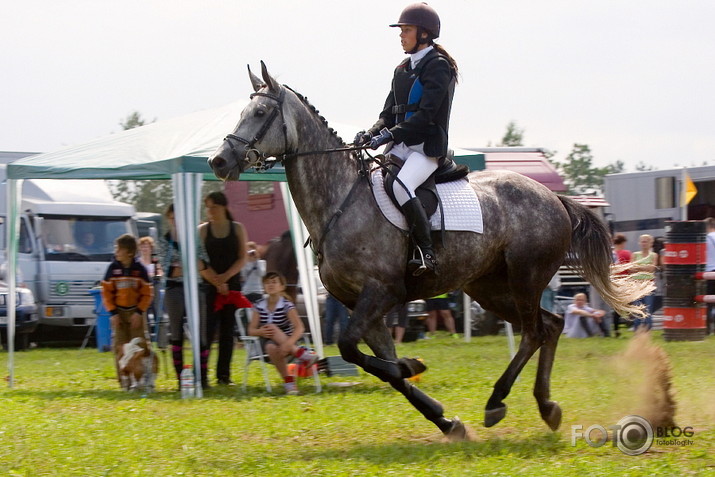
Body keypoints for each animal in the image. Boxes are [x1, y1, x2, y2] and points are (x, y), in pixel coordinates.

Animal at [207, 62, 648, 438]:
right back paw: (545, 406)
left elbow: (354, 350)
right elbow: (384, 369)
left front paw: (413, 365)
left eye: (260, 112)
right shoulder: (362, 305)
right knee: (549, 326)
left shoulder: (380, 293)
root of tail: (554, 198)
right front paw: (444, 418)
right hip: (489, 288)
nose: (218, 160)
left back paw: (498, 401)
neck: (339, 200)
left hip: (524, 278)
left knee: (535, 331)